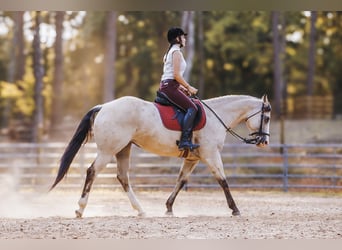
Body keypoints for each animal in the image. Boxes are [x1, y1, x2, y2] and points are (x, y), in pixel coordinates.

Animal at [49, 94, 272, 217]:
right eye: (267, 117)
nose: (265, 142)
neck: (217, 116)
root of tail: (103, 106)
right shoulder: (211, 154)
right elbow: (223, 180)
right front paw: (235, 209)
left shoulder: (192, 159)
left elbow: (181, 181)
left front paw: (168, 207)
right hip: (108, 151)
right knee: (92, 172)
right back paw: (80, 209)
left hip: (123, 150)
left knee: (123, 177)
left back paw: (140, 210)